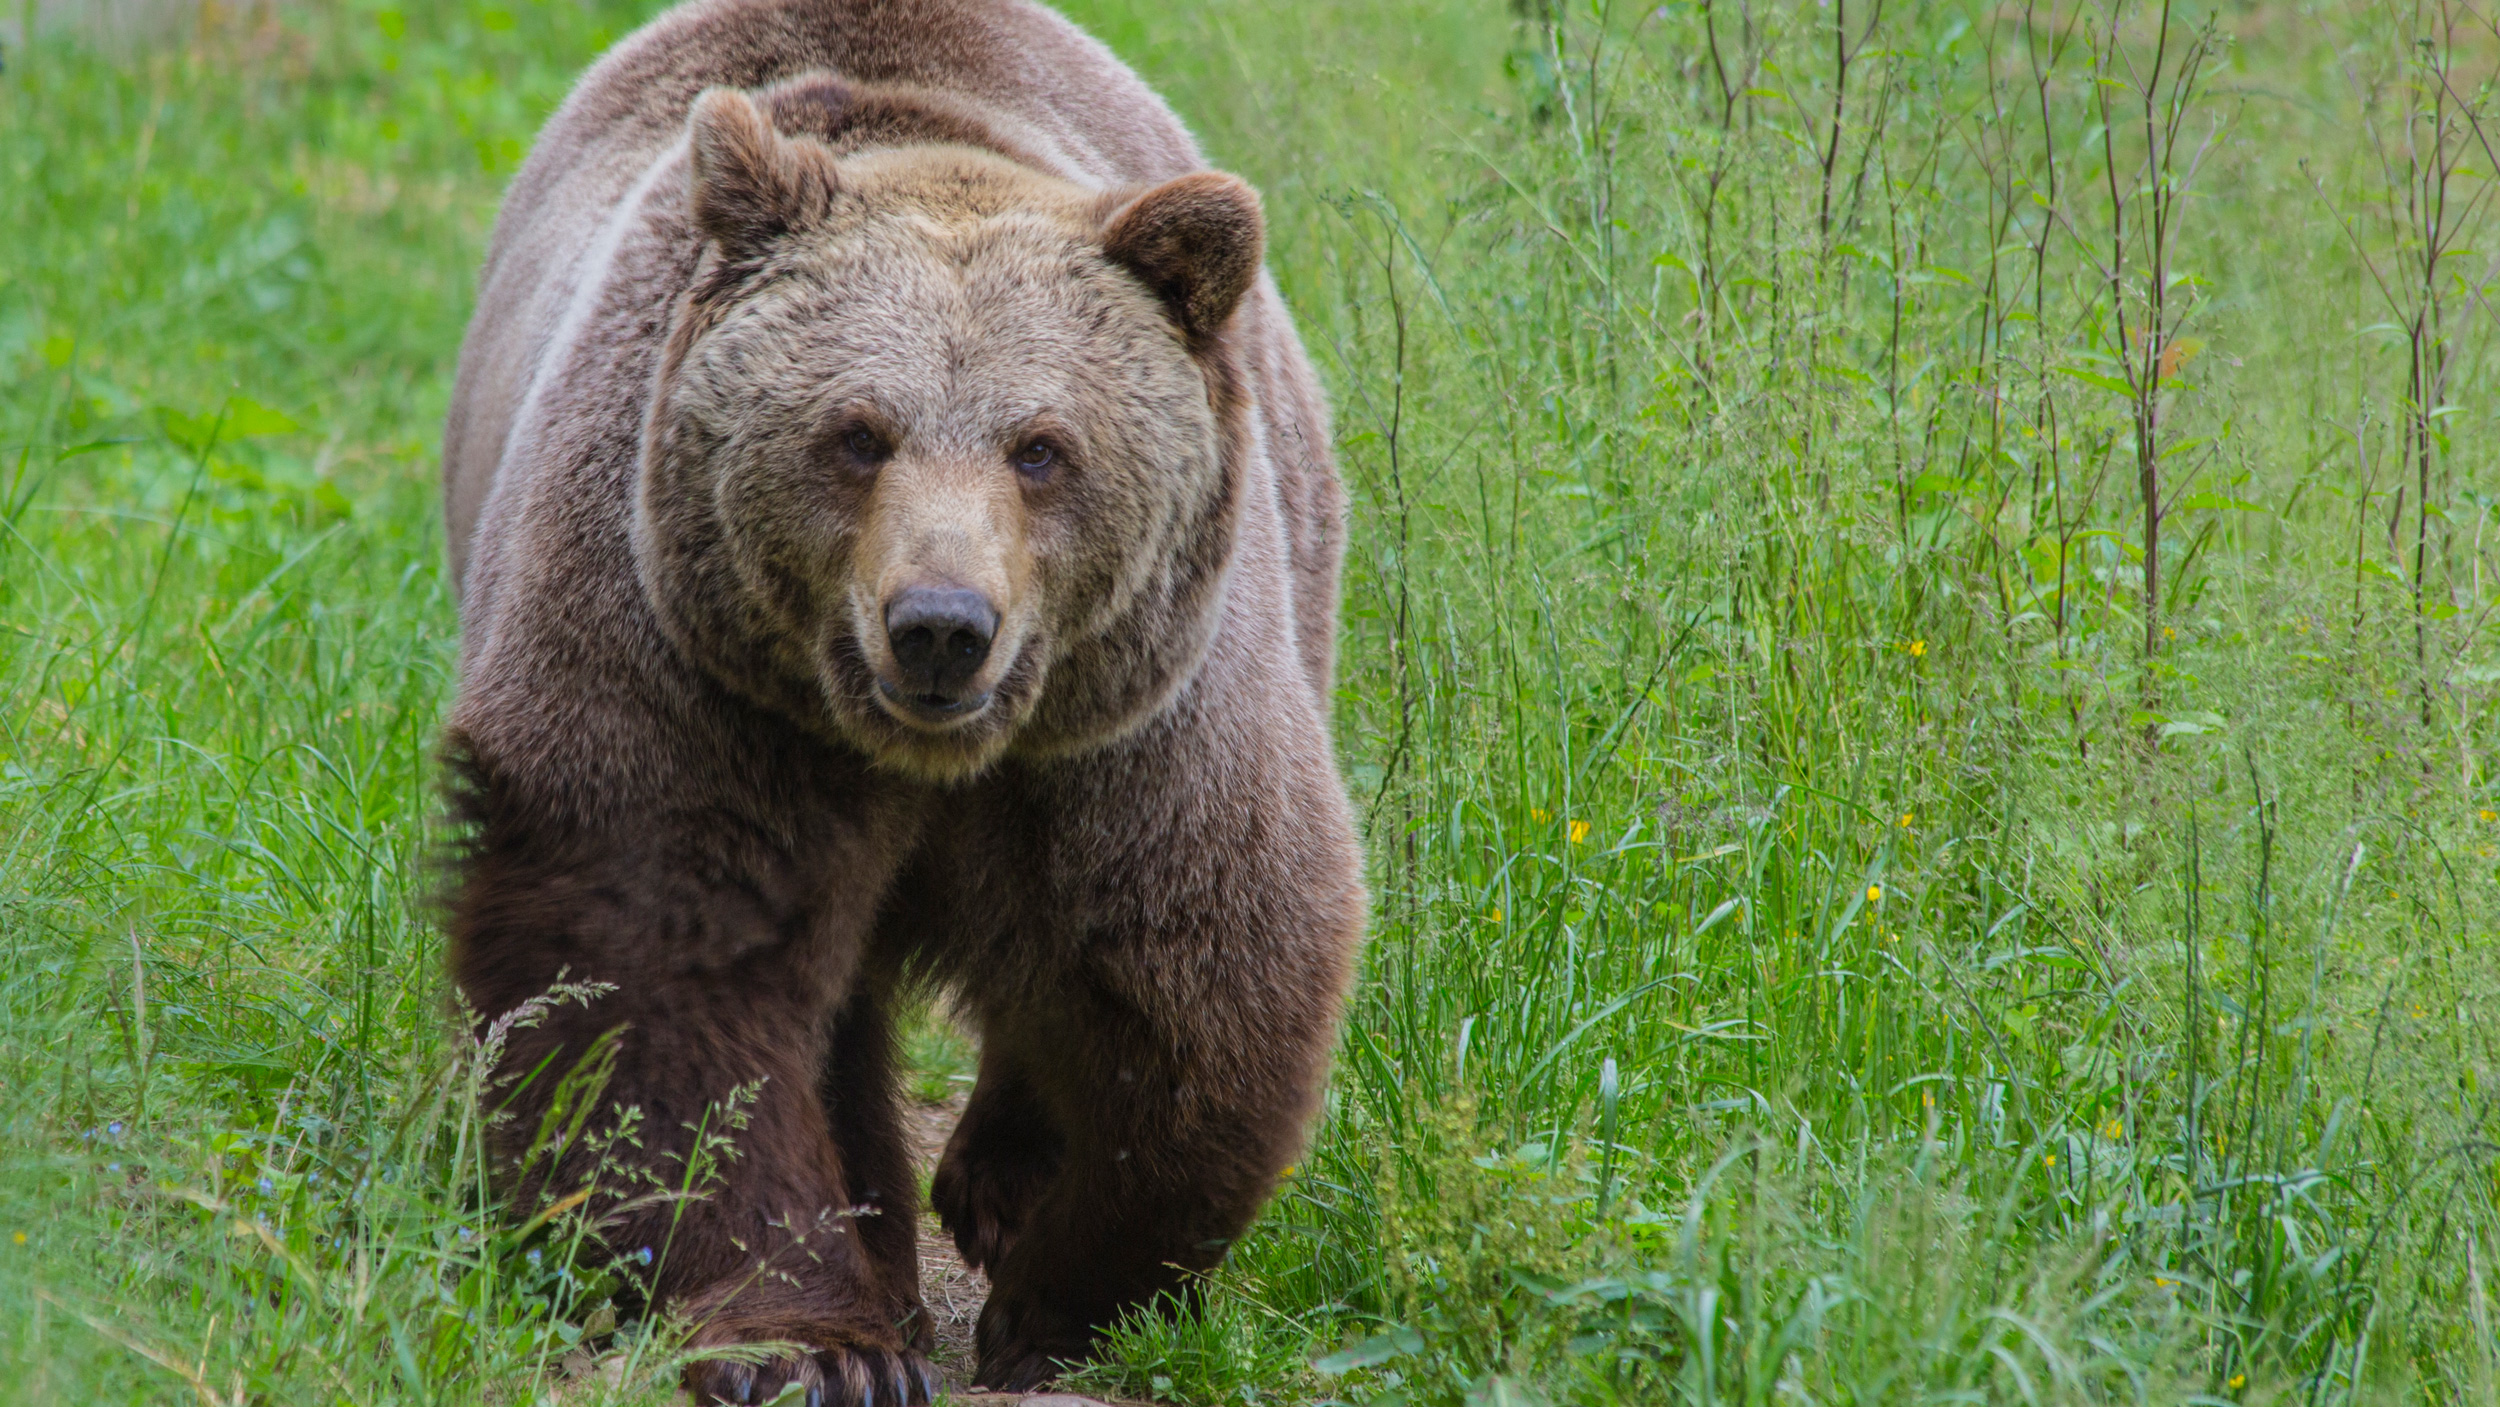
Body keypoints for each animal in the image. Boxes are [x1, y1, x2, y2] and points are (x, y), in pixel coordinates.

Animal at [435, 0, 1370, 1399]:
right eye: (856, 433)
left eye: (1042, 449)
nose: (939, 626)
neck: (922, 757)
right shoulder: (690, 670)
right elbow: (660, 963)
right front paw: (815, 1340)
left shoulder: (1131, 719)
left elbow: (1188, 957)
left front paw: (1053, 1293)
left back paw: (990, 1181)